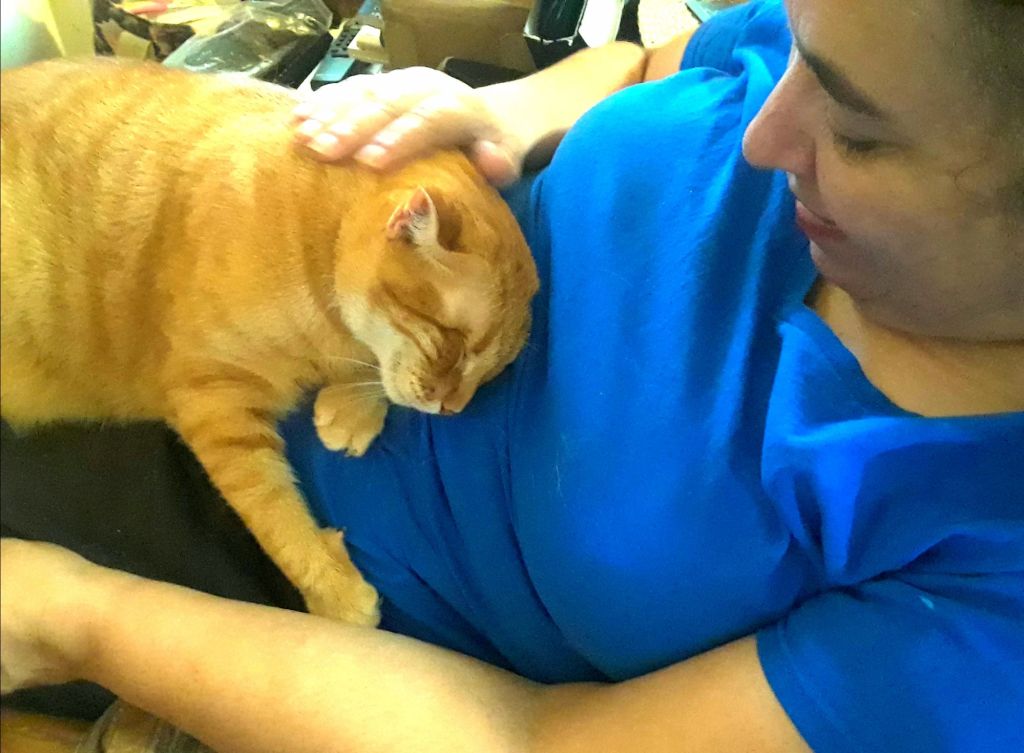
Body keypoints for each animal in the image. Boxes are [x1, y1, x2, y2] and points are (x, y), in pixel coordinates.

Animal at [0, 58, 539, 626]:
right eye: (452, 340)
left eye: (492, 372)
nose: (453, 409)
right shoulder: (214, 401)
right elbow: (275, 514)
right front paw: (334, 591)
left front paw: (353, 407)